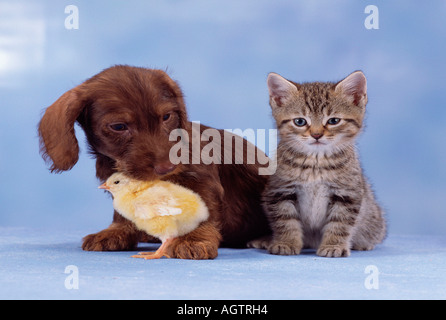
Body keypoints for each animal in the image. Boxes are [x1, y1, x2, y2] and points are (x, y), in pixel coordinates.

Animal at [38, 65, 270, 260]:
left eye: (166, 116)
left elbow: (202, 210)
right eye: (119, 127)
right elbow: (122, 213)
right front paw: (117, 231)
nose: (167, 167)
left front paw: (194, 239)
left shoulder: (202, 183)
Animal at [249, 70, 386, 258]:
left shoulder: (347, 194)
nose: (316, 135)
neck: (316, 162)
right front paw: (286, 242)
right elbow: (285, 220)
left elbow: (340, 223)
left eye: (333, 121)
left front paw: (333, 245)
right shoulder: (281, 190)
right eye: (300, 121)